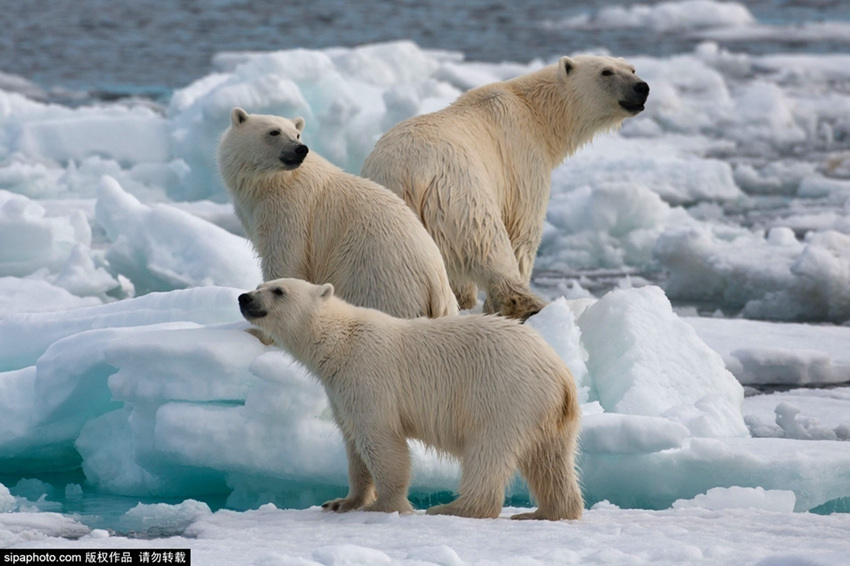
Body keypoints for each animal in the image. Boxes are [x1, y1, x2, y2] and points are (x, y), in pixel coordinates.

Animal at [219, 106, 458, 320]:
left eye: (296, 133)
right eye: (274, 131)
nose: (300, 149)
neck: (269, 185)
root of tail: (437, 283)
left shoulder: (289, 211)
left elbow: (285, 259)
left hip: (379, 280)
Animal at [238, 280, 584, 524]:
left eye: (278, 290)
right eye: (260, 284)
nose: (244, 297)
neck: (340, 342)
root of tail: (561, 375)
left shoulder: (368, 375)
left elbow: (381, 441)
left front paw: (384, 505)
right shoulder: (339, 392)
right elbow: (353, 445)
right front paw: (341, 502)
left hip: (505, 394)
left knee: (488, 450)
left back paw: (453, 507)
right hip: (548, 412)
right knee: (550, 460)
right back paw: (545, 512)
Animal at [360, 56, 648, 322]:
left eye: (632, 68)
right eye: (606, 71)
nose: (642, 87)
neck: (537, 114)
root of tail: (407, 176)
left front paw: (466, 300)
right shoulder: (523, 164)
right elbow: (523, 233)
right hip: (459, 194)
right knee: (488, 241)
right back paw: (526, 305)